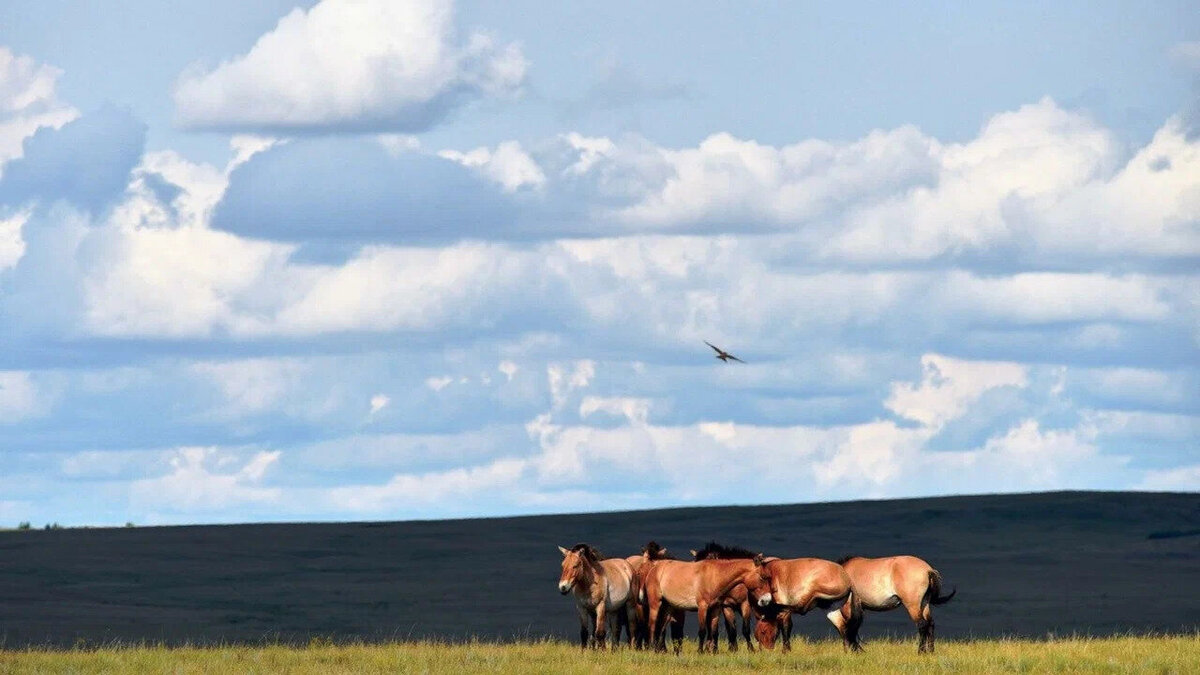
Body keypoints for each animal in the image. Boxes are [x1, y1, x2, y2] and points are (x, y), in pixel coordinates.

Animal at [643, 550, 772, 648]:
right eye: (762, 577)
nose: (767, 599)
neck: (714, 577)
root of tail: (654, 568)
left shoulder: (716, 609)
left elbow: (713, 631)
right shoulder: (702, 607)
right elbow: (702, 631)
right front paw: (700, 651)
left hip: (668, 607)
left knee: (661, 628)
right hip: (655, 604)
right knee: (652, 625)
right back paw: (651, 648)